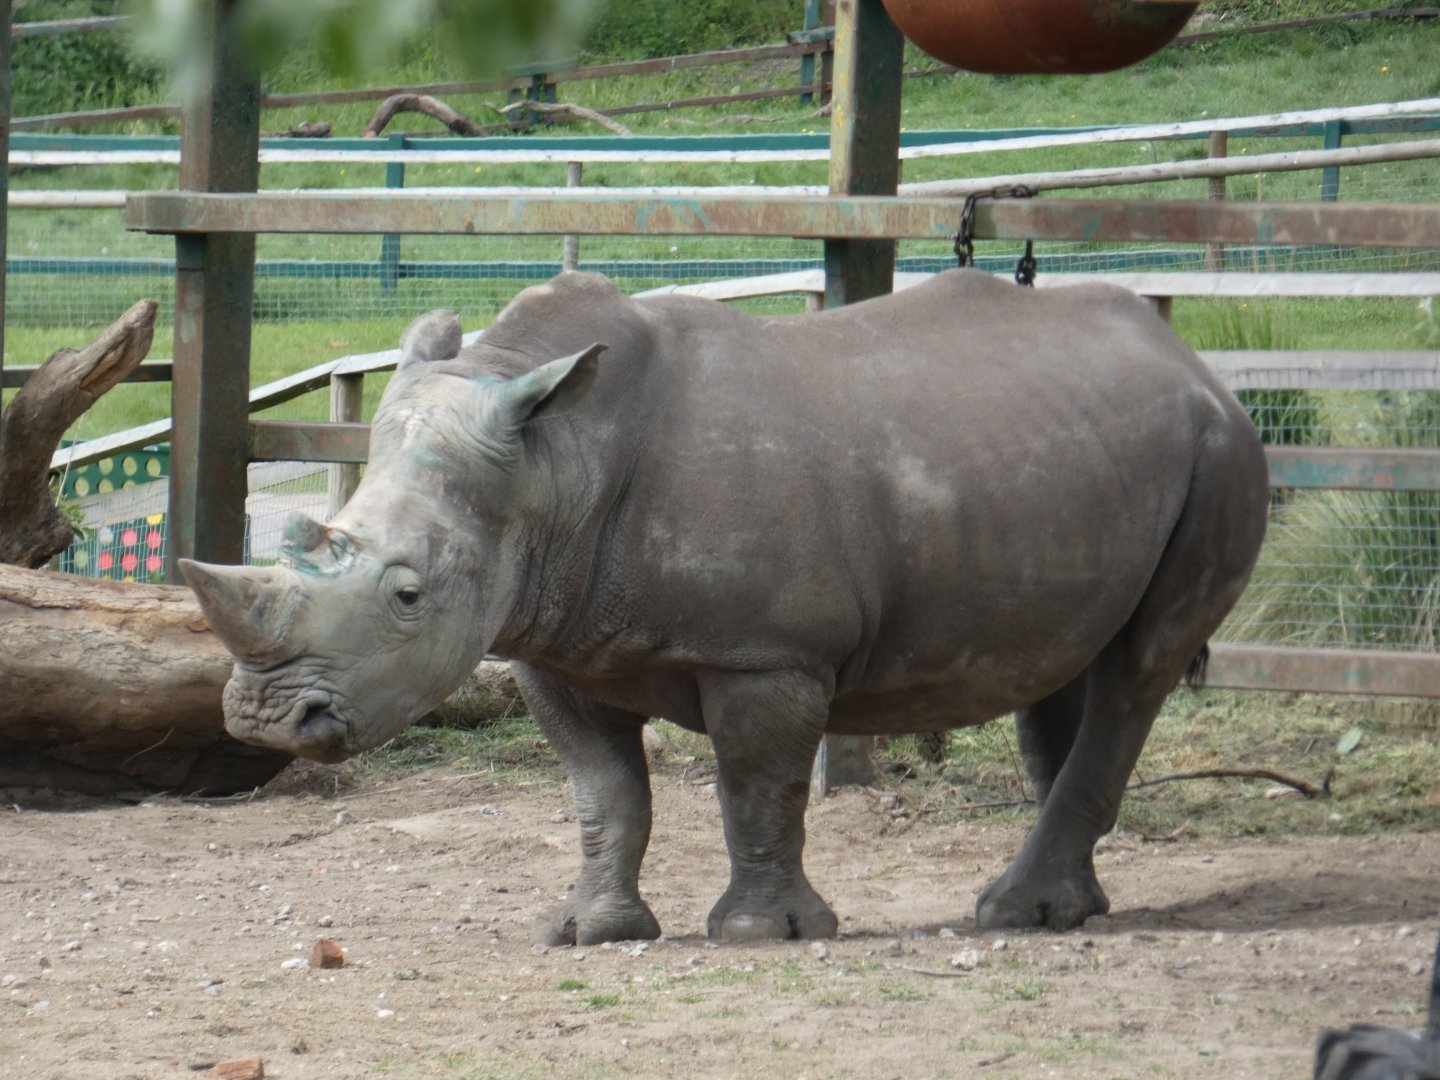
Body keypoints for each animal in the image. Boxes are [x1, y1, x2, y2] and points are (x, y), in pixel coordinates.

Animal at [183, 269, 1268, 942]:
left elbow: (758, 786)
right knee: (1066, 670)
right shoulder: (553, 645)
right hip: (1086, 455)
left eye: (408, 593)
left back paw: (1011, 914)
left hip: (1224, 452)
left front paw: (760, 934)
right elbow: (604, 795)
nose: (264, 719)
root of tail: (1189, 359)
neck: (554, 463)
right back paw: (1066, 909)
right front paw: (584, 933)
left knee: (1137, 672)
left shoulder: (766, 651)